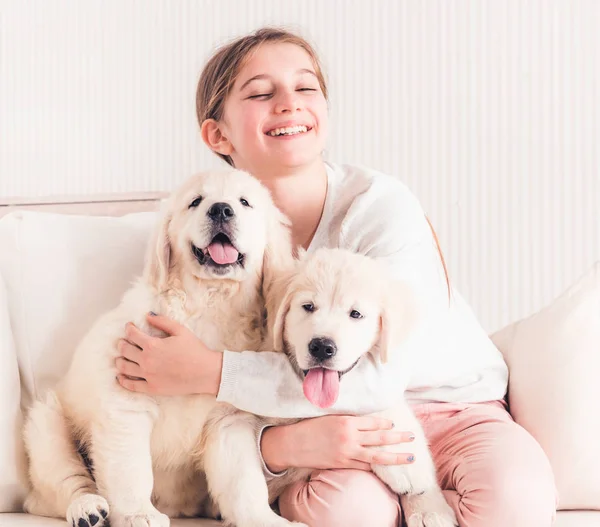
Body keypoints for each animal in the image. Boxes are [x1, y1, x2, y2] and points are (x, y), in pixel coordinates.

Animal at [22, 168, 298, 527]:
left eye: (244, 202)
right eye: (195, 201)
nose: (221, 210)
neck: (208, 306)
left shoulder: (229, 421)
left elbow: (244, 482)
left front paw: (265, 518)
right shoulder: (126, 401)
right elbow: (131, 469)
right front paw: (139, 513)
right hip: (46, 424)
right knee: (61, 482)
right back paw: (88, 508)